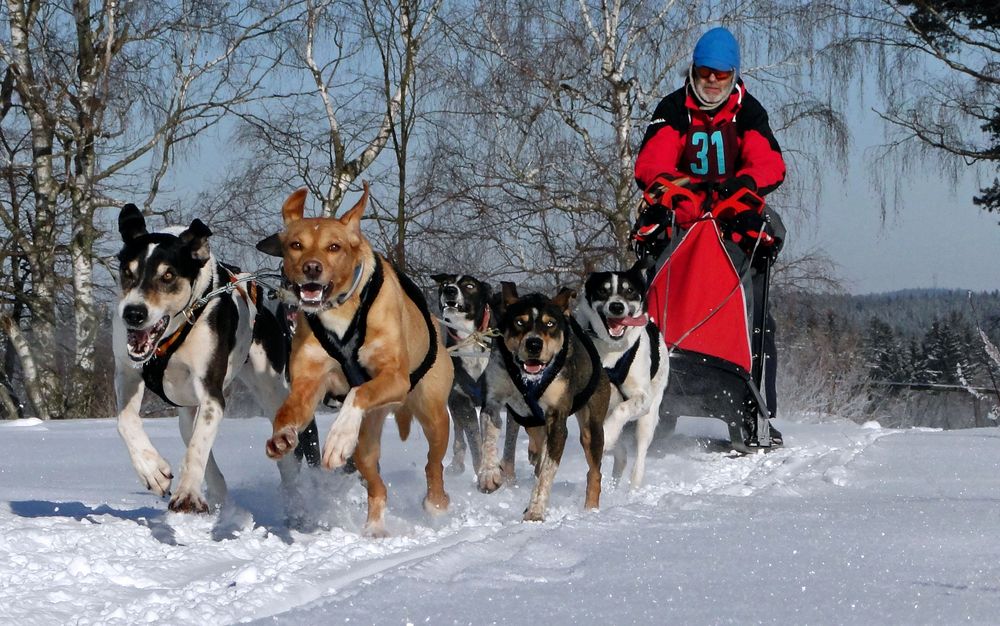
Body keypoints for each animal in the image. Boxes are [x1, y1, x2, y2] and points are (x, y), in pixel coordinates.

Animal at [109, 205, 314, 512]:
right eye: (127, 271)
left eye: (168, 276)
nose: (133, 313)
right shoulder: (127, 372)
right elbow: (125, 420)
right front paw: (152, 470)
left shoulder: (211, 394)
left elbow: (198, 447)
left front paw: (188, 493)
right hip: (186, 410)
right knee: (198, 445)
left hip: (270, 386)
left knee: (288, 457)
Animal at [262, 183, 458, 532]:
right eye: (296, 245)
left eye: (334, 246)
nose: (312, 268)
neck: (341, 309)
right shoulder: (308, 381)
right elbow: (289, 410)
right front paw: (283, 436)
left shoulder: (394, 377)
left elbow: (359, 391)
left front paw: (339, 436)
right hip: (368, 439)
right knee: (376, 483)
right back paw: (375, 529)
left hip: (433, 414)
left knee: (433, 464)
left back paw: (436, 505)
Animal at [476, 280, 608, 520]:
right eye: (520, 322)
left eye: (550, 324)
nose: (534, 344)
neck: (529, 379)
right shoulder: (492, 401)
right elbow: (488, 440)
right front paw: (488, 475)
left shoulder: (557, 420)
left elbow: (547, 472)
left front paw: (536, 510)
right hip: (530, 422)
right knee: (537, 448)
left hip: (591, 429)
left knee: (594, 473)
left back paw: (591, 509)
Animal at [576, 264, 668, 488]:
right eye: (603, 290)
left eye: (630, 291)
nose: (617, 306)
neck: (612, 349)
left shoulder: (641, 398)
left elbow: (622, 409)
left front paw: (608, 433)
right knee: (621, 452)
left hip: (649, 416)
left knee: (640, 450)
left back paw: (633, 485)